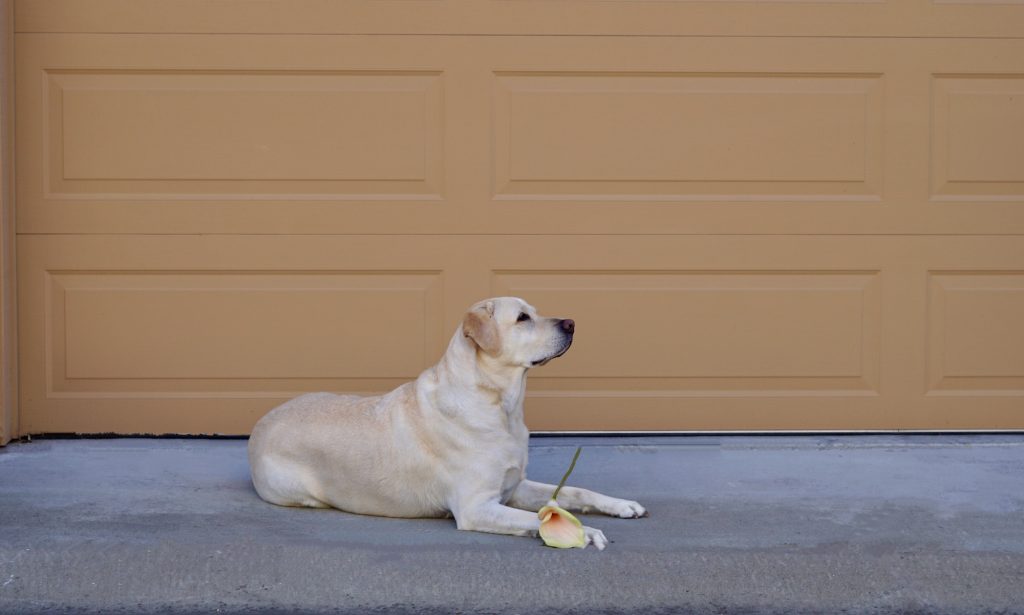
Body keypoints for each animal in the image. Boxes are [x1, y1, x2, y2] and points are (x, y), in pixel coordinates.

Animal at [248, 296, 643, 548]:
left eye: (536, 312)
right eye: (522, 318)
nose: (572, 323)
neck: (502, 408)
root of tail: (258, 426)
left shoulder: (514, 486)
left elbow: (576, 491)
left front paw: (621, 504)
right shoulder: (476, 506)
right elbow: (540, 519)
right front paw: (584, 532)